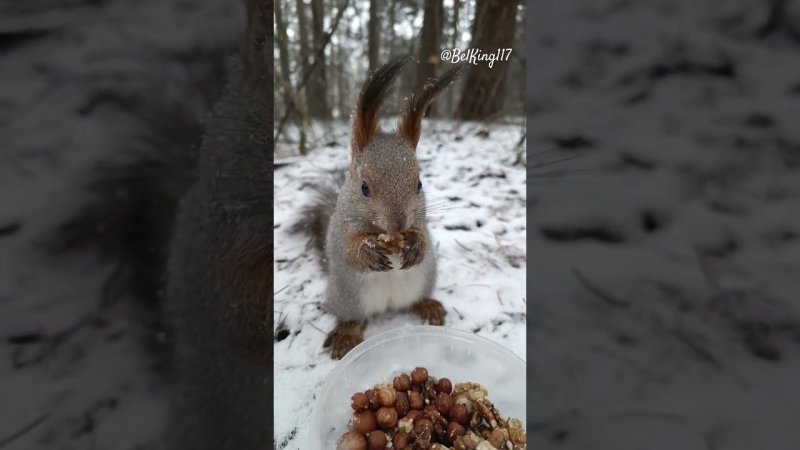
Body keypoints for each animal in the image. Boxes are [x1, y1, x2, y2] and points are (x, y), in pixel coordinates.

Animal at [296, 56, 466, 358]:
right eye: (364, 187)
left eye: (419, 183)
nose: (398, 224)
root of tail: (388, 304)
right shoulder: (340, 227)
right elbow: (347, 247)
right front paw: (368, 251)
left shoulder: (420, 221)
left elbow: (423, 236)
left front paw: (416, 245)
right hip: (348, 296)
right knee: (353, 317)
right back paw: (347, 333)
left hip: (423, 280)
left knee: (413, 301)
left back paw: (428, 306)